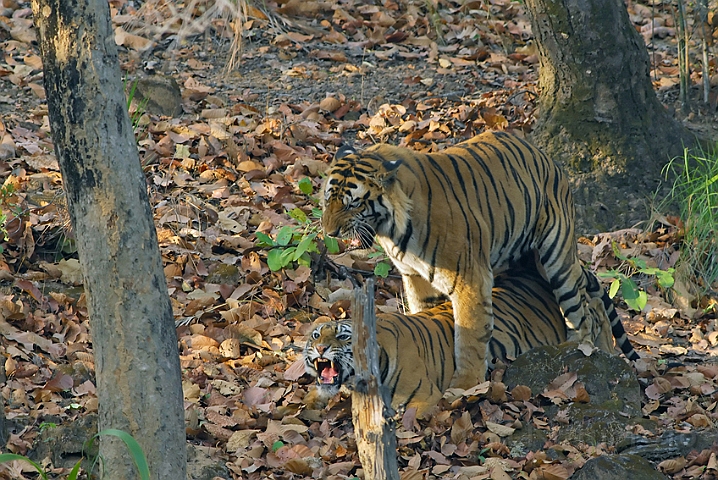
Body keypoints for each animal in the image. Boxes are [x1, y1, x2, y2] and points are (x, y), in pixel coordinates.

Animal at [320, 130, 632, 386]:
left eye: (353, 204)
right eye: (327, 200)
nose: (329, 231)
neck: (392, 229)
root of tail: (549, 160)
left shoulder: (470, 279)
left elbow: (469, 336)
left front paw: (464, 385)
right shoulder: (415, 277)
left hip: (556, 258)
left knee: (582, 311)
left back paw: (581, 350)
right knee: (591, 300)